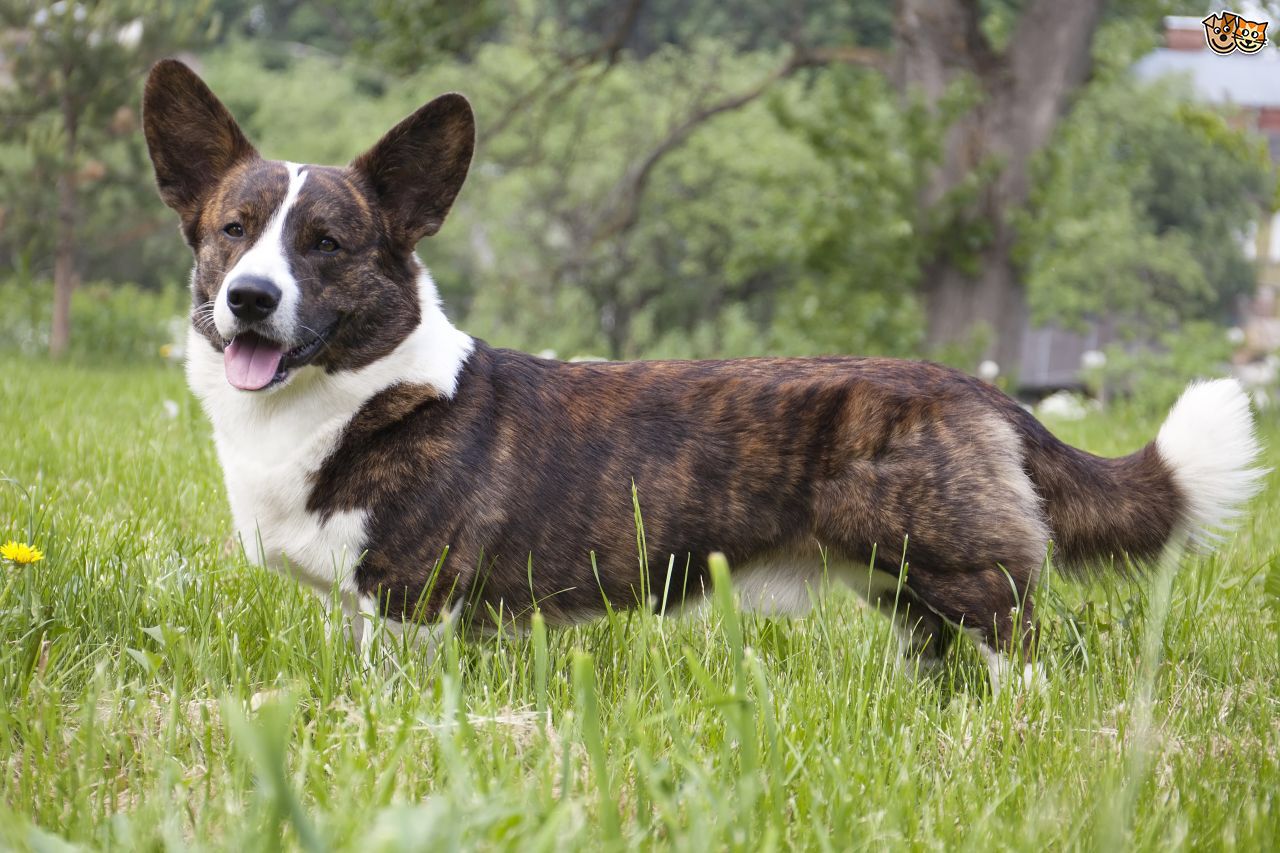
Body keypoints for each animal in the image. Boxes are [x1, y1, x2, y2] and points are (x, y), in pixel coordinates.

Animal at [145, 58, 1264, 686]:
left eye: (327, 243)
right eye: (234, 229)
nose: (250, 298)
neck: (354, 395)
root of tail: (982, 390)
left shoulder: (410, 607)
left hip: (967, 578)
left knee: (1025, 665)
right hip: (911, 595)